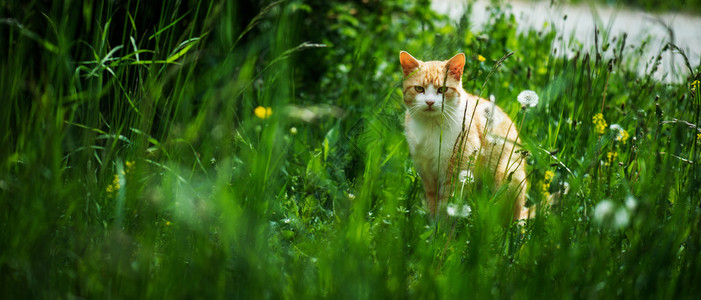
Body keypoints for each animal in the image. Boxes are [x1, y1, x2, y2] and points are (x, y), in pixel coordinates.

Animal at [400, 51, 532, 220]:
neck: (431, 126)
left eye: (443, 89)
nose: (430, 102)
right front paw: (433, 224)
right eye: (419, 89)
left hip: (506, 176)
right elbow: (433, 201)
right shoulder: (427, 173)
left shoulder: (456, 171)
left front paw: (443, 225)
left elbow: (448, 203)